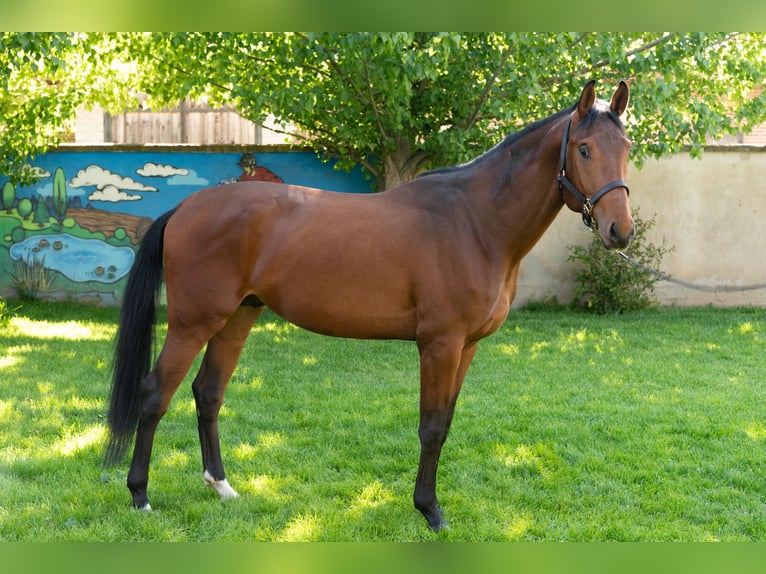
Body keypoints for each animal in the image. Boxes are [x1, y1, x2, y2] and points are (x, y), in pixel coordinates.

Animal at [104, 79, 633, 532]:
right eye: (584, 149)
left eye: (627, 149)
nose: (620, 231)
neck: (475, 221)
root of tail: (184, 208)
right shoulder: (439, 344)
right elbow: (431, 428)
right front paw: (430, 511)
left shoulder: (468, 347)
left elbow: (446, 422)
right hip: (193, 324)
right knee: (154, 394)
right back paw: (140, 495)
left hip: (238, 316)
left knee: (208, 393)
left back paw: (222, 486)